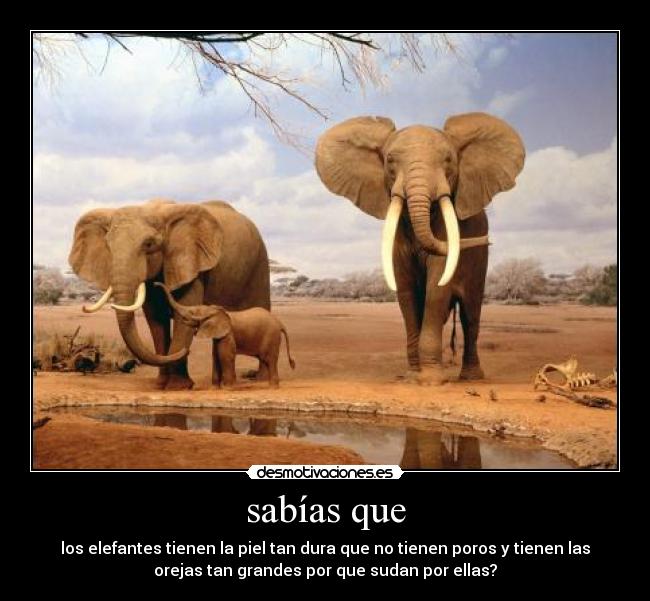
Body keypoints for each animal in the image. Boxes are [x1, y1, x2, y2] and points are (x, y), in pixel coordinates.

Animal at [69, 199, 270, 390]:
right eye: (108, 246)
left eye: (149, 244)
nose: (187, 351)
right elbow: (156, 320)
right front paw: (161, 385)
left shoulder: (190, 262)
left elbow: (184, 312)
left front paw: (178, 387)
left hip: (260, 263)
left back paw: (259, 379)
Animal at [155, 282, 295, 389]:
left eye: (192, 312)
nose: (155, 284)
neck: (213, 311)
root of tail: (279, 323)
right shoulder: (218, 335)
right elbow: (215, 355)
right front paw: (215, 388)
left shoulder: (228, 334)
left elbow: (225, 355)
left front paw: (228, 388)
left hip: (271, 336)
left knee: (269, 359)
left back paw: (273, 387)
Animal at [315, 112, 525, 385]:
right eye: (390, 160)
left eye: (448, 160)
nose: (487, 239)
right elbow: (405, 291)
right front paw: (412, 376)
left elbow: (437, 286)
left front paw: (431, 381)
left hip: (480, 263)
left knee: (470, 315)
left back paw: (471, 378)